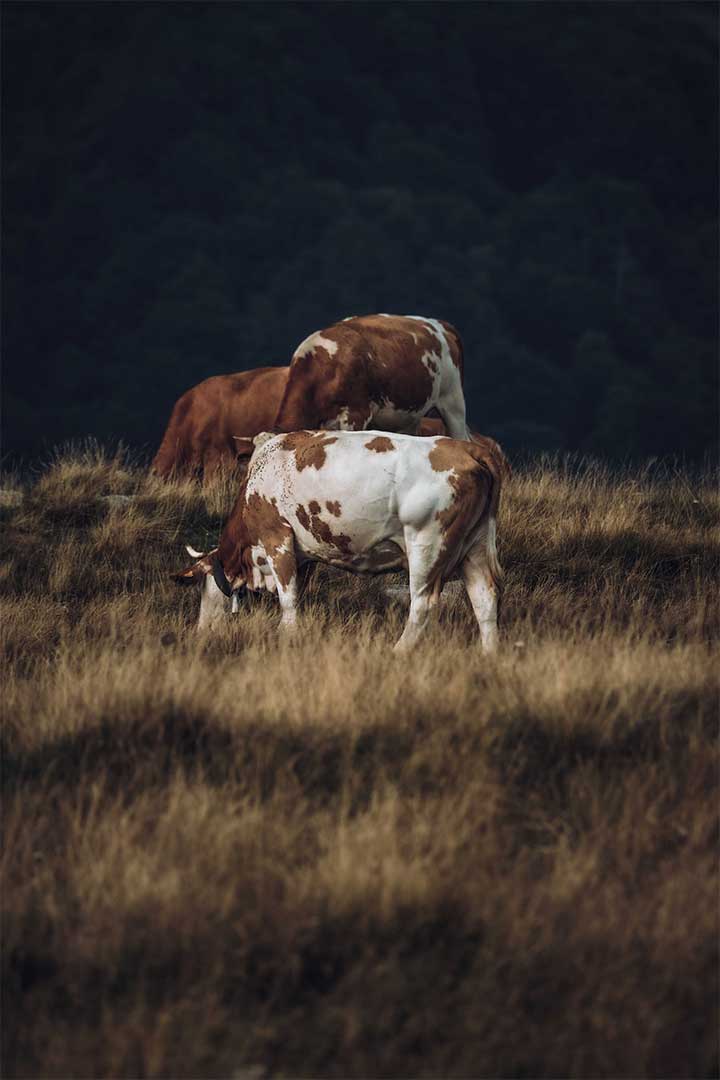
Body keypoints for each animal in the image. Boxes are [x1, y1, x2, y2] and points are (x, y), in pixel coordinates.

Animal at [173, 429, 506, 652]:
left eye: (204, 589)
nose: (200, 632)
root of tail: (466, 448)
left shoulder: (277, 537)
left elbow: (288, 598)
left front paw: (286, 635)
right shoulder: (303, 554)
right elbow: (298, 593)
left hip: (427, 543)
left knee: (423, 603)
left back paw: (398, 651)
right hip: (474, 546)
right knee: (484, 598)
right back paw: (489, 655)